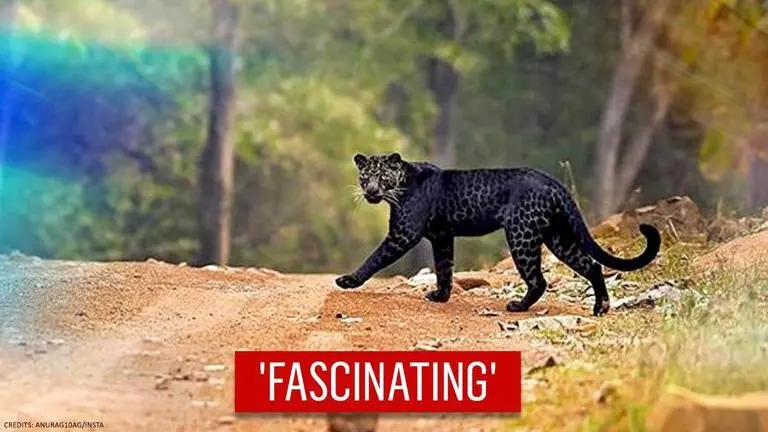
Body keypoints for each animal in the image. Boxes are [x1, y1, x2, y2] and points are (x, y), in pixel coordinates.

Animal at [335, 152, 661, 316]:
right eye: (365, 177)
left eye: (382, 177)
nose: (371, 191)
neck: (401, 187)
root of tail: (553, 182)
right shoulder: (442, 237)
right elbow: (444, 268)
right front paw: (440, 296)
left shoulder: (403, 234)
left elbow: (375, 258)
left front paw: (349, 281)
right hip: (558, 237)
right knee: (591, 265)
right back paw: (600, 308)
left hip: (522, 235)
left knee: (539, 279)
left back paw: (518, 307)